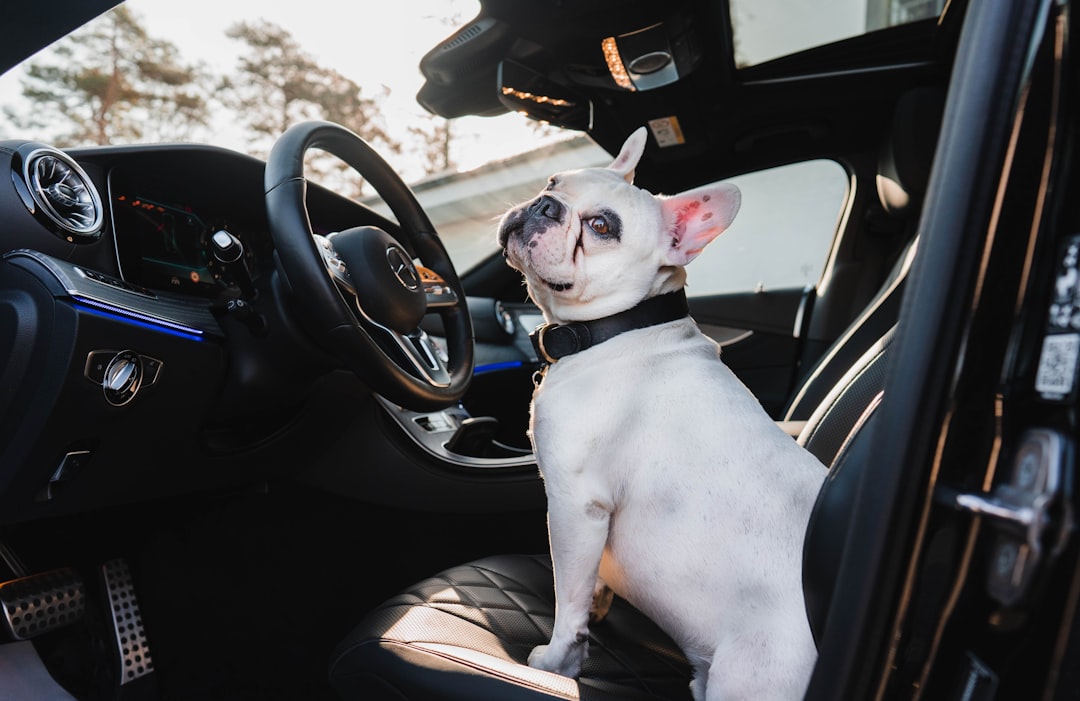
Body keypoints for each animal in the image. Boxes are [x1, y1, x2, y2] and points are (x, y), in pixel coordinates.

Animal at [496, 126, 825, 699]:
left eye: (601, 227)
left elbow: (568, 598)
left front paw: (556, 663)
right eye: (553, 182)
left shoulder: (575, 506)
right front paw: (598, 607)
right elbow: (588, 587)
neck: (622, 327)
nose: (544, 205)